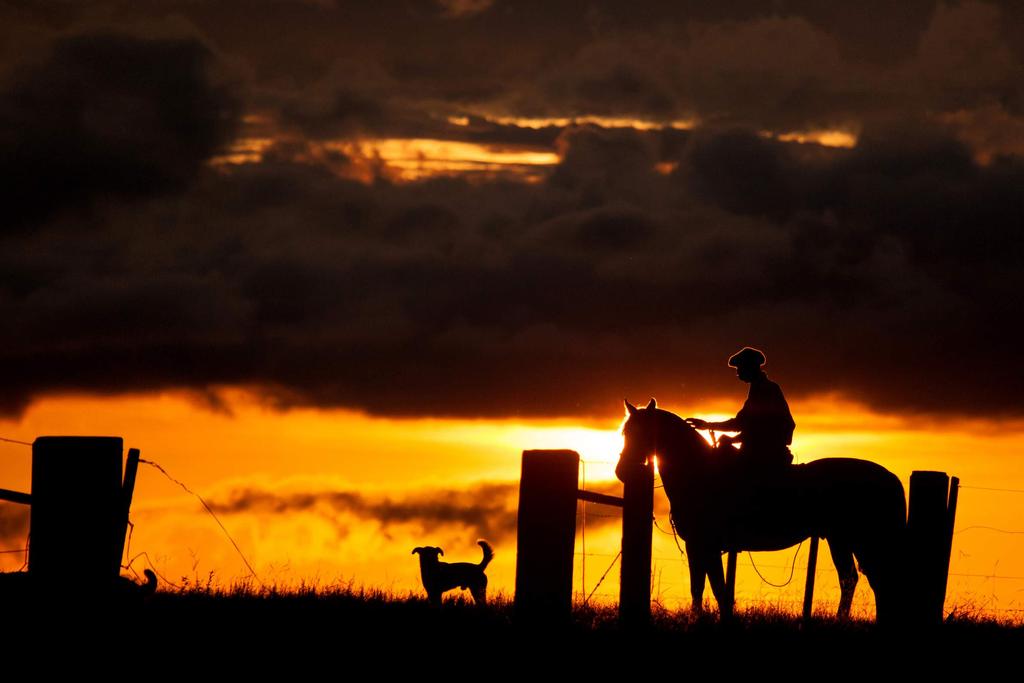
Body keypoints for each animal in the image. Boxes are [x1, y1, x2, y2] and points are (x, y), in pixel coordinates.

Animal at [614, 397, 905, 622]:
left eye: (642, 432)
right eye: (625, 433)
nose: (622, 471)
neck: (700, 472)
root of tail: (889, 477)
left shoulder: (706, 545)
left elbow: (716, 587)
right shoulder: (697, 546)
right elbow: (701, 586)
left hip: (862, 540)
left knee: (874, 579)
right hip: (840, 539)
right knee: (853, 579)